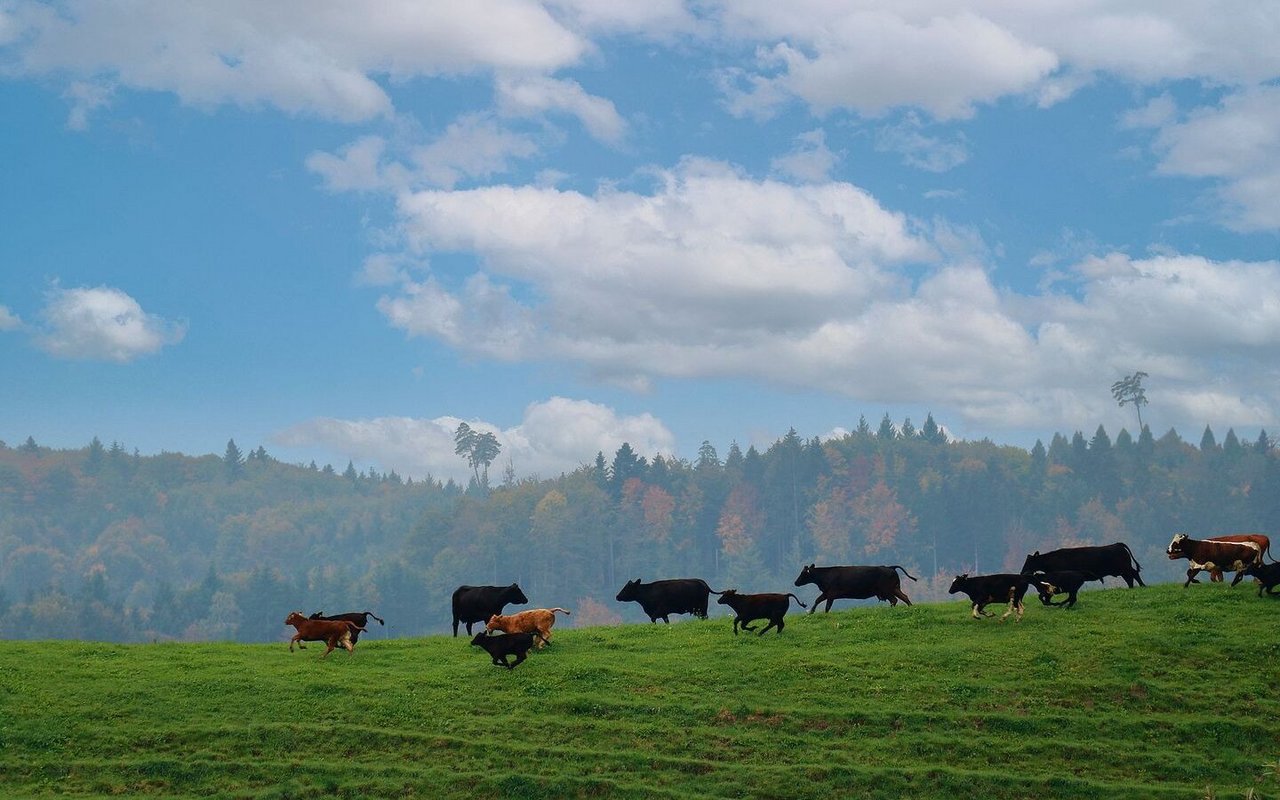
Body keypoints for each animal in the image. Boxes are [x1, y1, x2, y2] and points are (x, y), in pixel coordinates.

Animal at [788, 560, 921, 611]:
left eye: (803, 573)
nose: (795, 582)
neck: (825, 576)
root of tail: (890, 567)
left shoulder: (831, 594)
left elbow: (826, 606)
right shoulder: (826, 593)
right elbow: (817, 600)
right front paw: (811, 612)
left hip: (886, 590)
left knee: (894, 600)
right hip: (894, 588)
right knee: (904, 597)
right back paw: (911, 607)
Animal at [1018, 542, 1152, 586]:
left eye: (1029, 562)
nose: (1022, 572)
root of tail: (1118, 544)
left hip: (1124, 568)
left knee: (1133, 575)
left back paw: (1142, 586)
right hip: (1122, 570)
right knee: (1130, 578)